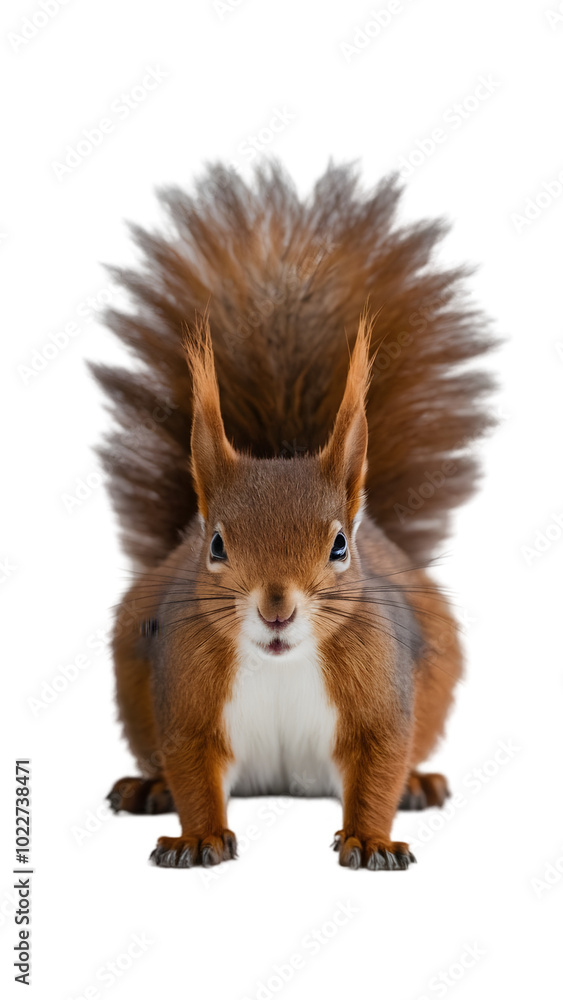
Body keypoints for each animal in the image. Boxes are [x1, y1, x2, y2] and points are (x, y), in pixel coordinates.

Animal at [92, 162, 494, 871]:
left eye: (339, 546)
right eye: (216, 545)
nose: (276, 608)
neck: (280, 661)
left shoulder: (379, 694)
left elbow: (381, 761)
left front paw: (371, 840)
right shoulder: (188, 695)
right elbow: (192, 764)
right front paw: (197, 837)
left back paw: (420, 783)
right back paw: (148, 788)